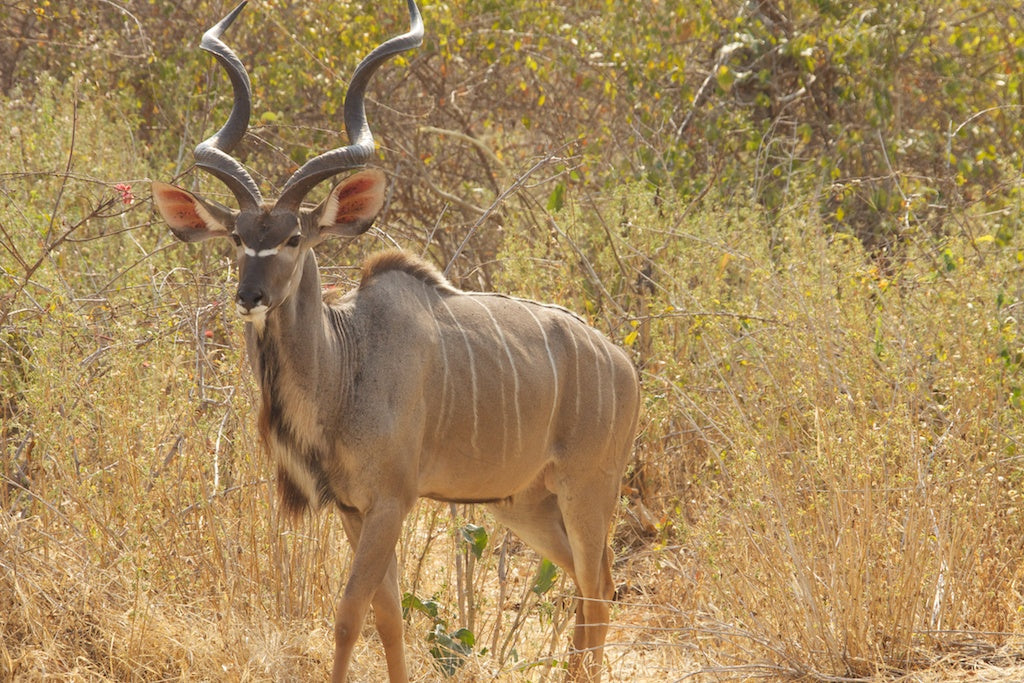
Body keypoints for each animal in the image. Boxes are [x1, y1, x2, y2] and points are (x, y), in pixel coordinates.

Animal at [151, 2, 638, 679]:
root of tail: (621, 362)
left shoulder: (390, 502)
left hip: (588, 488)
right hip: (523, 502)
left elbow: (348, 615)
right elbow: (388, 618)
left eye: (294, 238)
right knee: (593, 587)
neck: (344, 362)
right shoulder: (354, 510)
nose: (249, 296)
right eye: (237, 238)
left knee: (597, 588)